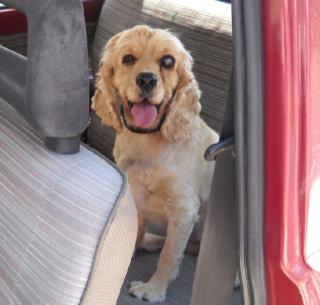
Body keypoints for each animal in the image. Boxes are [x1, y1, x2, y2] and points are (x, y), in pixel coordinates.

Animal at [91, 25, 219, 300]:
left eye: (168, 61)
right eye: (128, 58)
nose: (147, 80)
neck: (148, 140)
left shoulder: (184, 210)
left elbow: (169, 257)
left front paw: (154, 288)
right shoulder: (135, 198)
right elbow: (135, 234)